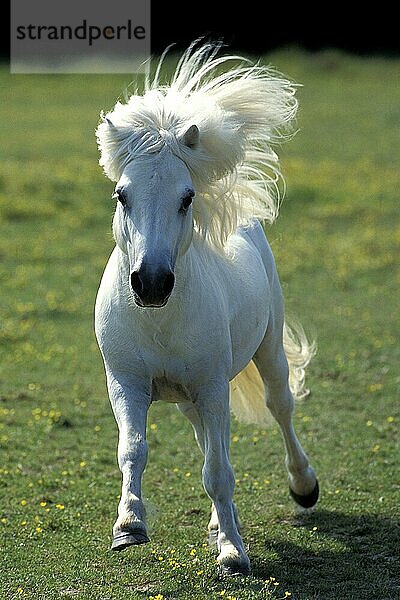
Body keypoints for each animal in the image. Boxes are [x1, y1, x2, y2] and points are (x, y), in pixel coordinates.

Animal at [94, 42, 318, 576]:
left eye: (186, 197)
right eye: (121, 194)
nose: (152, 282)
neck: (159, 320)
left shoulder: (213, 386)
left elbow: (218, 470)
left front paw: (233, 554)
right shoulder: (126, 383)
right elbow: (133, 450)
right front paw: (129, 525)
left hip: (265, 353)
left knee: (280, 408)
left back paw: (303, 487)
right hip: (189, 396)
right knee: (203, 437)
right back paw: (219, 522)